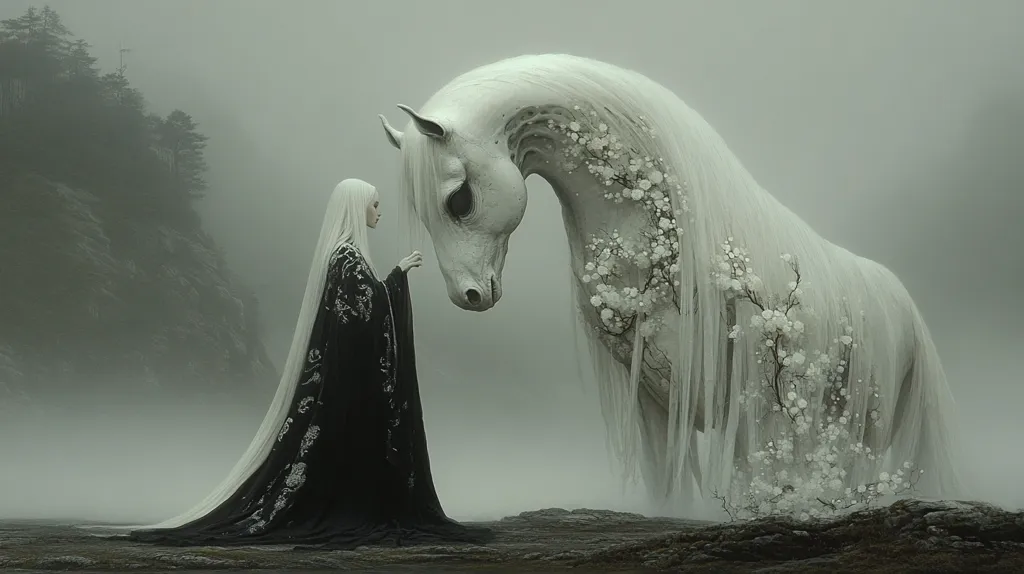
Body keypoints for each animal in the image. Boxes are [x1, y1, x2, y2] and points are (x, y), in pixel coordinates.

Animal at [377, 54, 963, 512]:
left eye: (459, 200)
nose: (468, 296)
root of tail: (904, 304)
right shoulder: (655, 401)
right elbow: (670, 492)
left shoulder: (753, 408)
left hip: (854, 424)